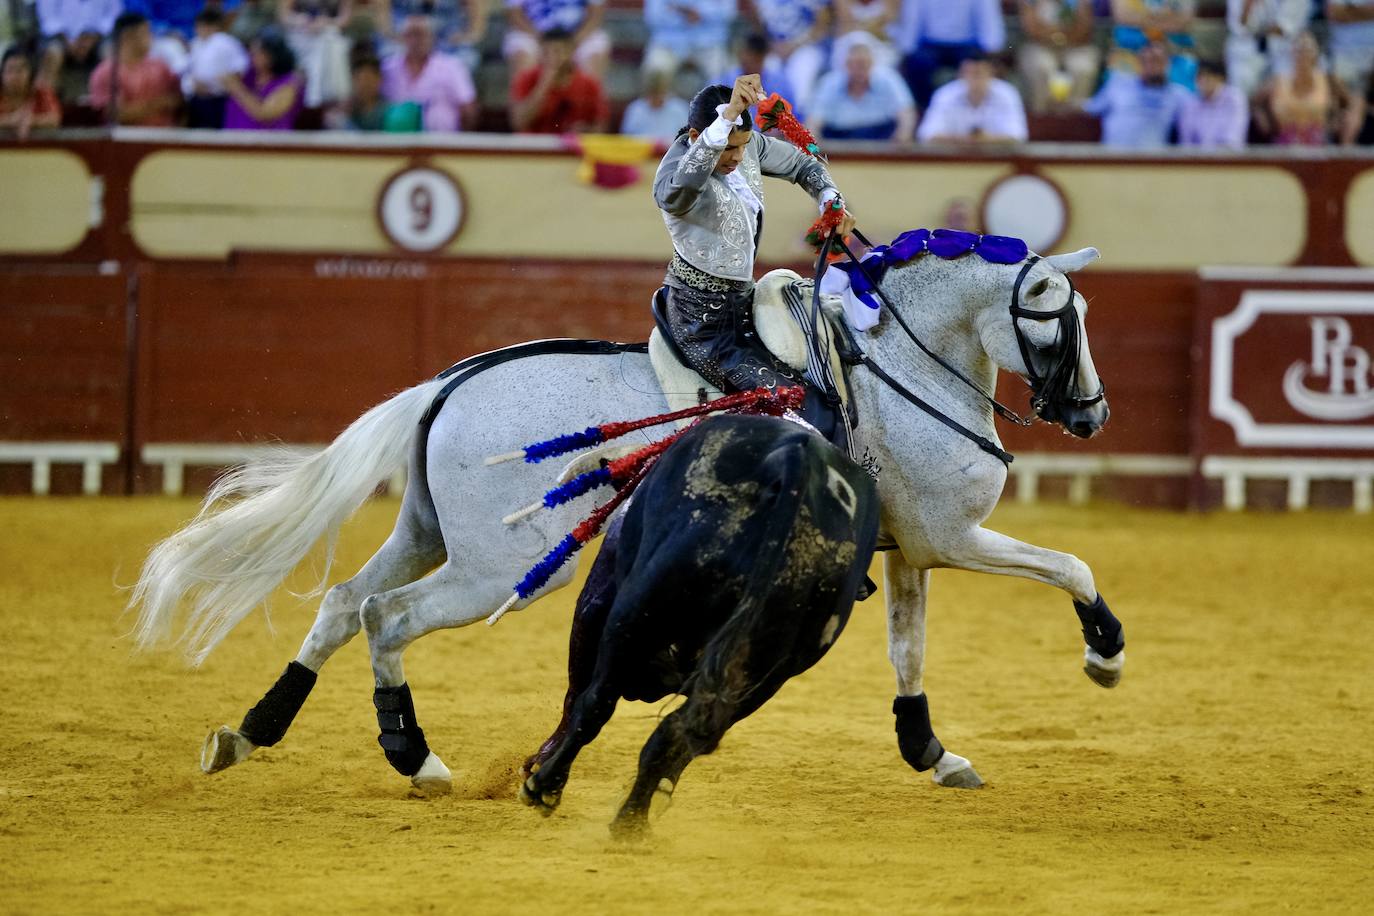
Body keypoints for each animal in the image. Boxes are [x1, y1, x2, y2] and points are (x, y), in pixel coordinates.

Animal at [516, 420, 879, 834]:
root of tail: (795, 459)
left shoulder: (597, 601)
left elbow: (578, 694)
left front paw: (541, 767)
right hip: (765, 673)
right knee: (679, 734)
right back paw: (631, 823)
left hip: (638, 609)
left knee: (598, 703)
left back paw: (546, 787)